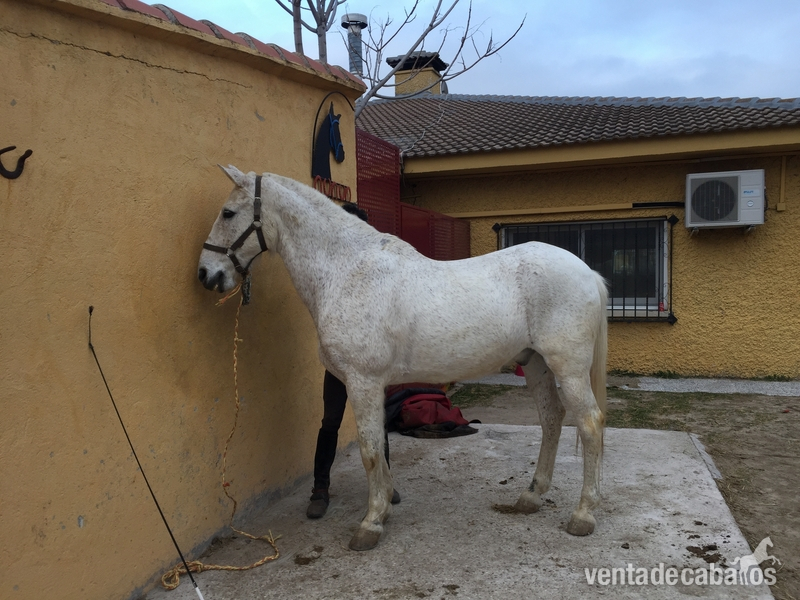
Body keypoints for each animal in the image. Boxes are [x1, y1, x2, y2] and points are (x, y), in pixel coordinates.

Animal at [198, 166, 609, 551]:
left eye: (228, 213)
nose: (206, 273)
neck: (346, 271)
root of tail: (587, 271)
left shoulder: (363, 381)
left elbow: (368, 450)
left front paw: (370, 524)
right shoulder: (373, 385)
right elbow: (379, 446)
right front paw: (384, 509)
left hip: (568, 368)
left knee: (589, 423)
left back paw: (583, 515)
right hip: (536, 364)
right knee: (552, 419)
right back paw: (532, 496)